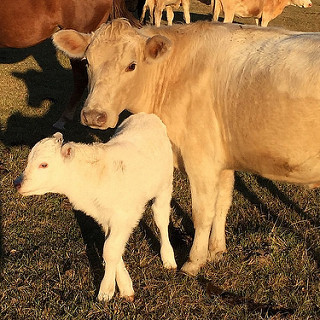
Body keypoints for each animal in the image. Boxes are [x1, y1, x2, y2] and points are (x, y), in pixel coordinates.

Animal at [13, 113, 176, 302]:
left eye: (44, 164)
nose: (17, 183)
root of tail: (147, 115)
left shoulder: (123, 216)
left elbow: (110, 250)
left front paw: (105, 291)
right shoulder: (104, 217)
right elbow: (112, 249)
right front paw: (125, 287)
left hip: (164, 187)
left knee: (161, 219)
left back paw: (168, 258)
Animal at [53, 19, 320, 276]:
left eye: (131, 65)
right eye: (87, 62)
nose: (93, 115)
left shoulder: (200, 160)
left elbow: (202, 213)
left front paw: (194, 262)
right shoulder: (222, 160)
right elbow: (222, 204)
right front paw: (216, 250)